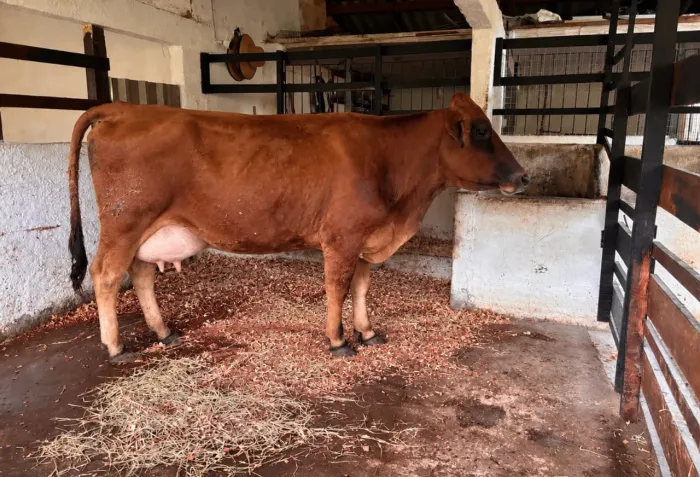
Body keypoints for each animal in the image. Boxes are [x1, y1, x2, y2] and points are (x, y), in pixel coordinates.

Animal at [67, 92, 529, 362]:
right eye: (482, 130)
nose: (523, 177)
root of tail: (124, 108)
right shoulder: (342, 237)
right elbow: (338, 288)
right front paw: (338, 341)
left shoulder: (367, 238)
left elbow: (362, 287)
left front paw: (367, 332)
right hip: (125, 222)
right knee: (106, 275)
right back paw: (115, 347)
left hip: (149, 231)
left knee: (141, 274)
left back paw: (163, 332)